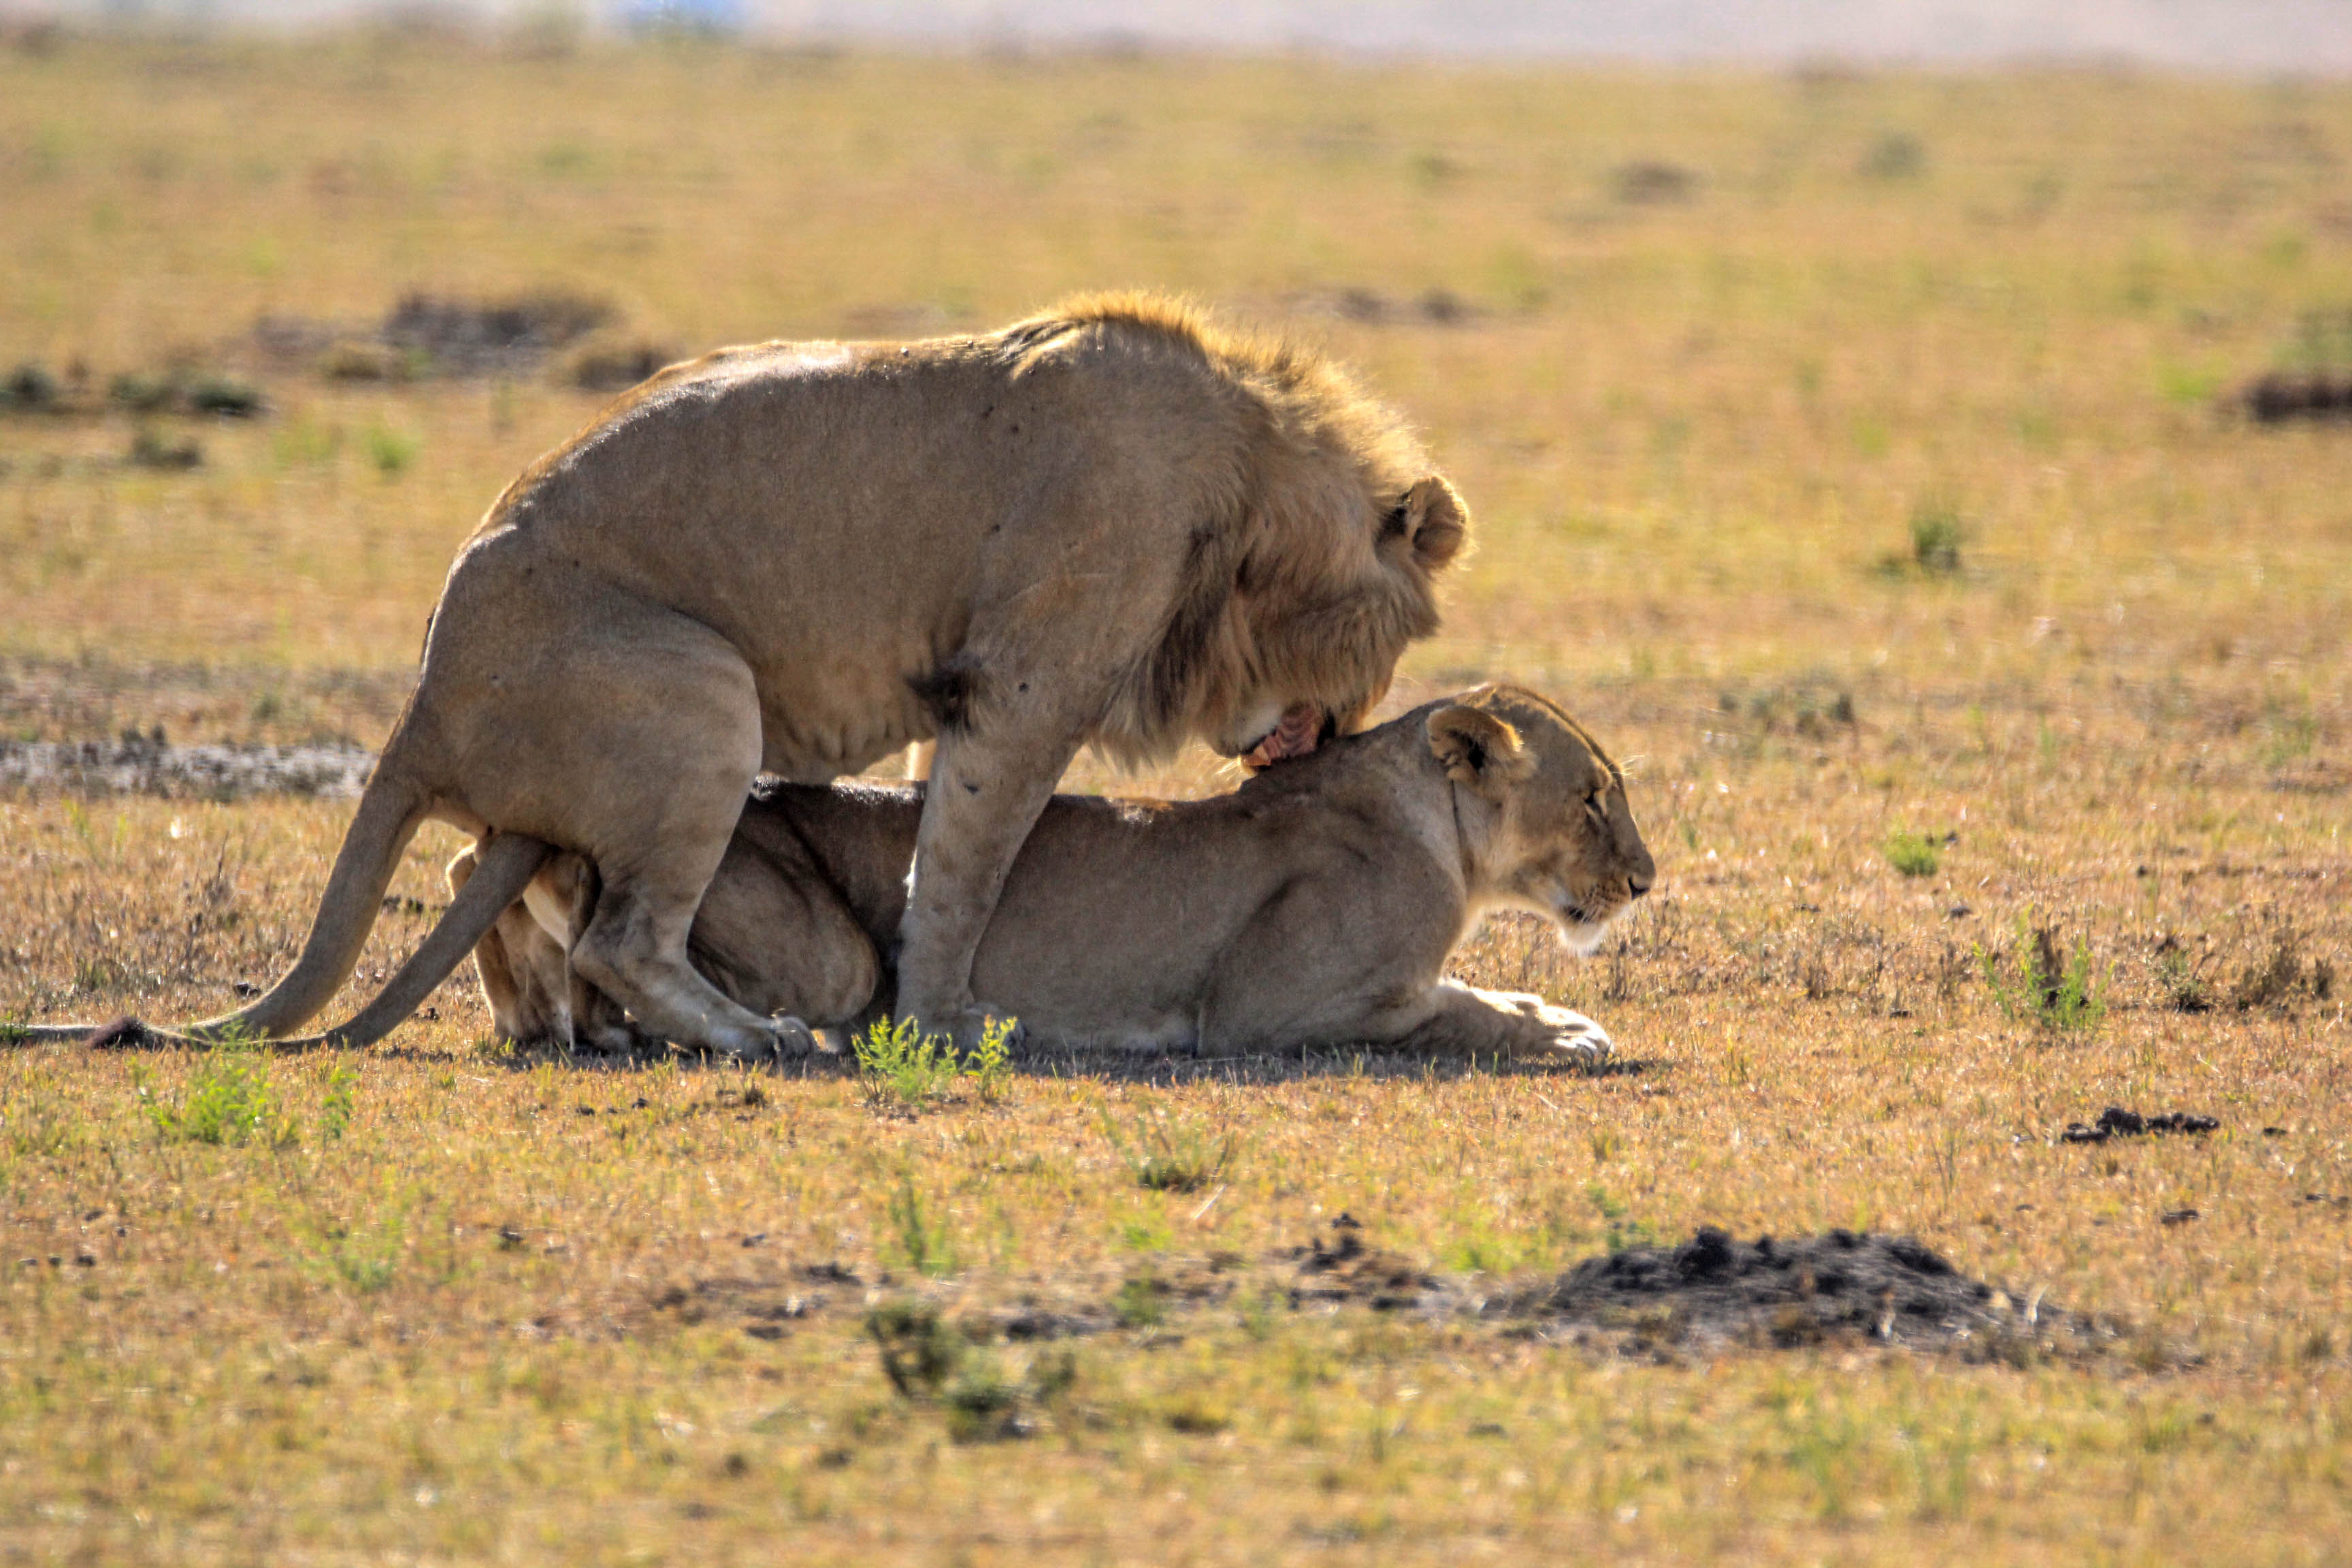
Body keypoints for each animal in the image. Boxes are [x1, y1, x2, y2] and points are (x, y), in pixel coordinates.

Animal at [22, 293, 1467, 1053]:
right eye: (1395, 647)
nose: (1332, 731)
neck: (1246, 478)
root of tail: (424, 697)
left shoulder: (967, 689)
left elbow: (945, 838)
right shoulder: (1030, 678)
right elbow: (965, 866)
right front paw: (940, 1018)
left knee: (485, 867)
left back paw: (559, 1025)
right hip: (701, 690)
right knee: (620, 931)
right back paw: (758, 1035)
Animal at [468, 691, 1665, 1067]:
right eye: (1594, 798)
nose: (1649, 881)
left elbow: (1478, 990)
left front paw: (1554, 1012)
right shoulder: (1272, 1007)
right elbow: (1457, 1010)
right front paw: (1565, 1037)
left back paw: (538, 1015)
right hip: (832, 954)